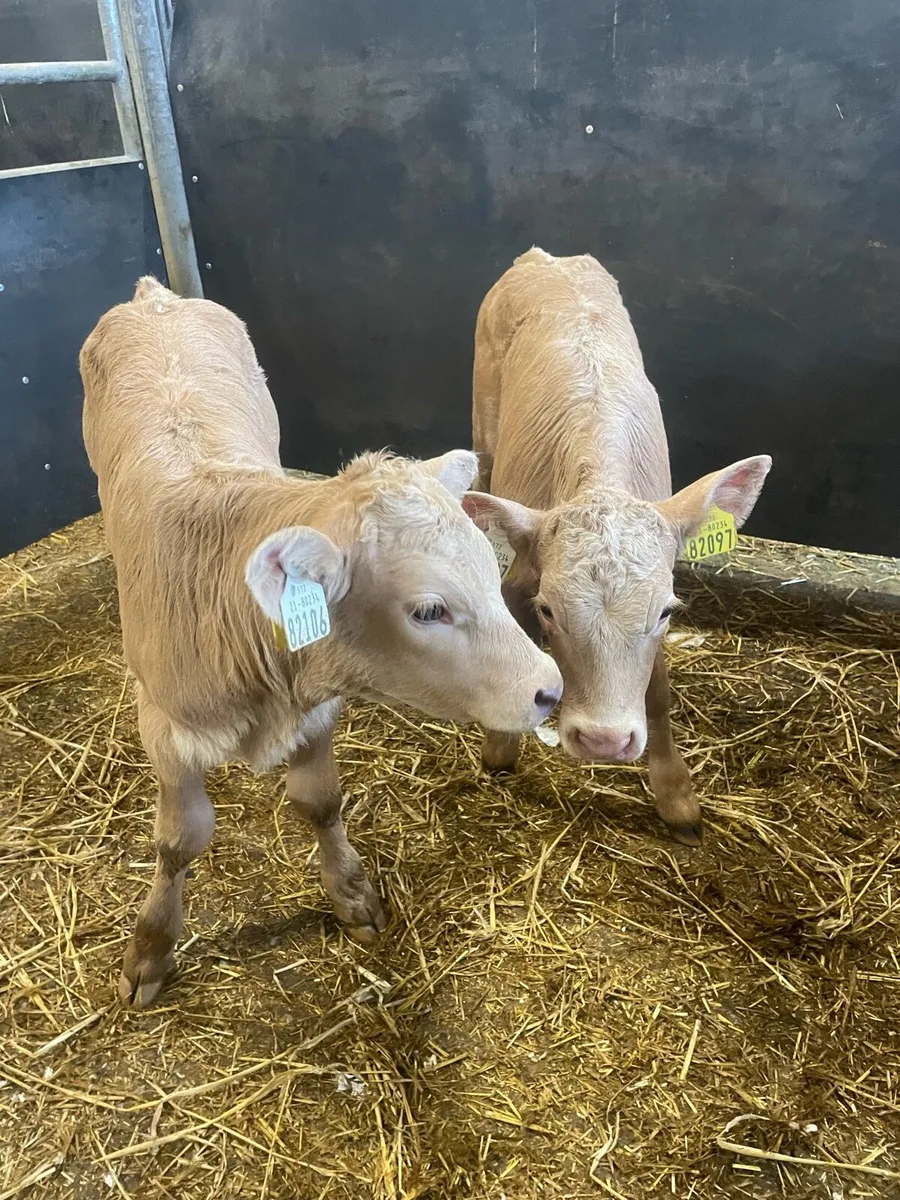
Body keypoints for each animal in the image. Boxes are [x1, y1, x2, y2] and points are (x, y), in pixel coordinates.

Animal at [81, 277, 562, 1008]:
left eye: (489, 565)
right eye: (428, 609)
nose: (550, 688)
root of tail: (154, 295)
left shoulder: (317, 707)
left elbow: (320, 800)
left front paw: (352, 891)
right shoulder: (164, 725)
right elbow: (179, 840)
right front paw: (151, 949)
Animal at [467, 248, 771, 845]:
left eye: (667, 612)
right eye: (548, 611)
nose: (604, 741)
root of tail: (546, 258)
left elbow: (657, 691)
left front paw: (676, 796)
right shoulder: (524, 568)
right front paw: (500, 746)